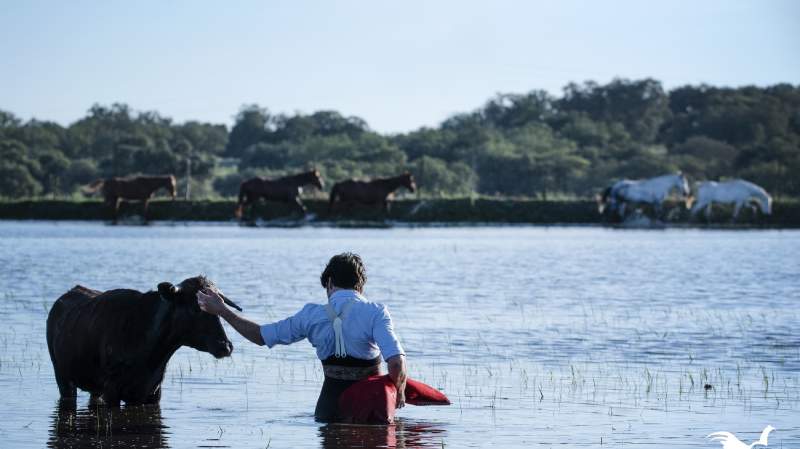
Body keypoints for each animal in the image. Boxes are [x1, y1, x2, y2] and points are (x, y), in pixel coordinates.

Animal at [46, 274, 241, 404]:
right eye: (195, 308)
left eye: (219, 310)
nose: (225, 346)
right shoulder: (111, 391)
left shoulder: (153, 392)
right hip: (62, 376)